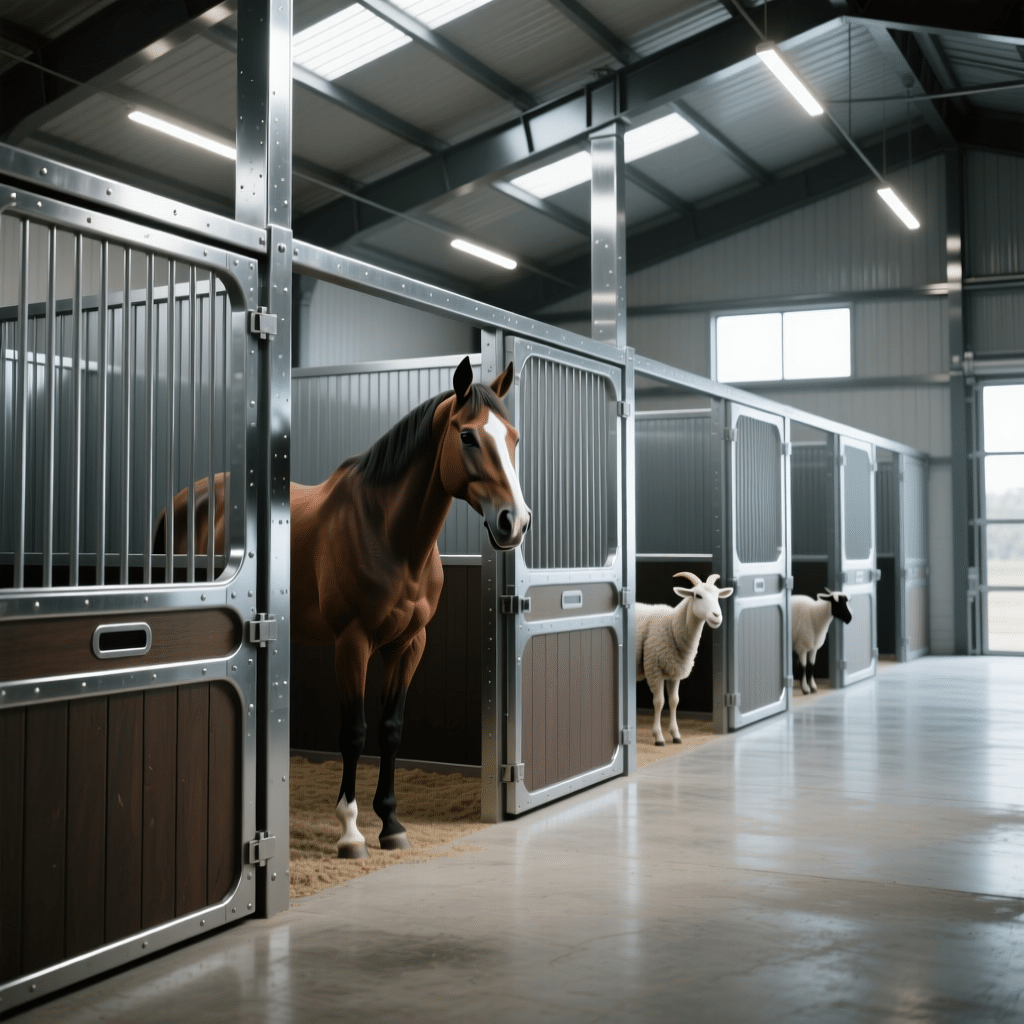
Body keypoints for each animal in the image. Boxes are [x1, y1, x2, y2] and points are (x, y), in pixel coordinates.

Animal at [157, 356, 530, 858]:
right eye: (468, 436)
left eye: (513, 437)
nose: (515, 521)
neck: (389, 535)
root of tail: (187, 497)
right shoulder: (352, 642)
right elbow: (354, 731)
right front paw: (351, 831)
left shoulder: (409, 644)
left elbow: (391, 728)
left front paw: (391, 824)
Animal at [635, 572, 734, 745]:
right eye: (697, 596)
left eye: (718, 596)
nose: (717, 616)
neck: (672, 624)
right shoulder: (654, 669)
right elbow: (659, 702)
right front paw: (658, 737)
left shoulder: (674, 671)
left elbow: (674, 701)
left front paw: (676, 735)